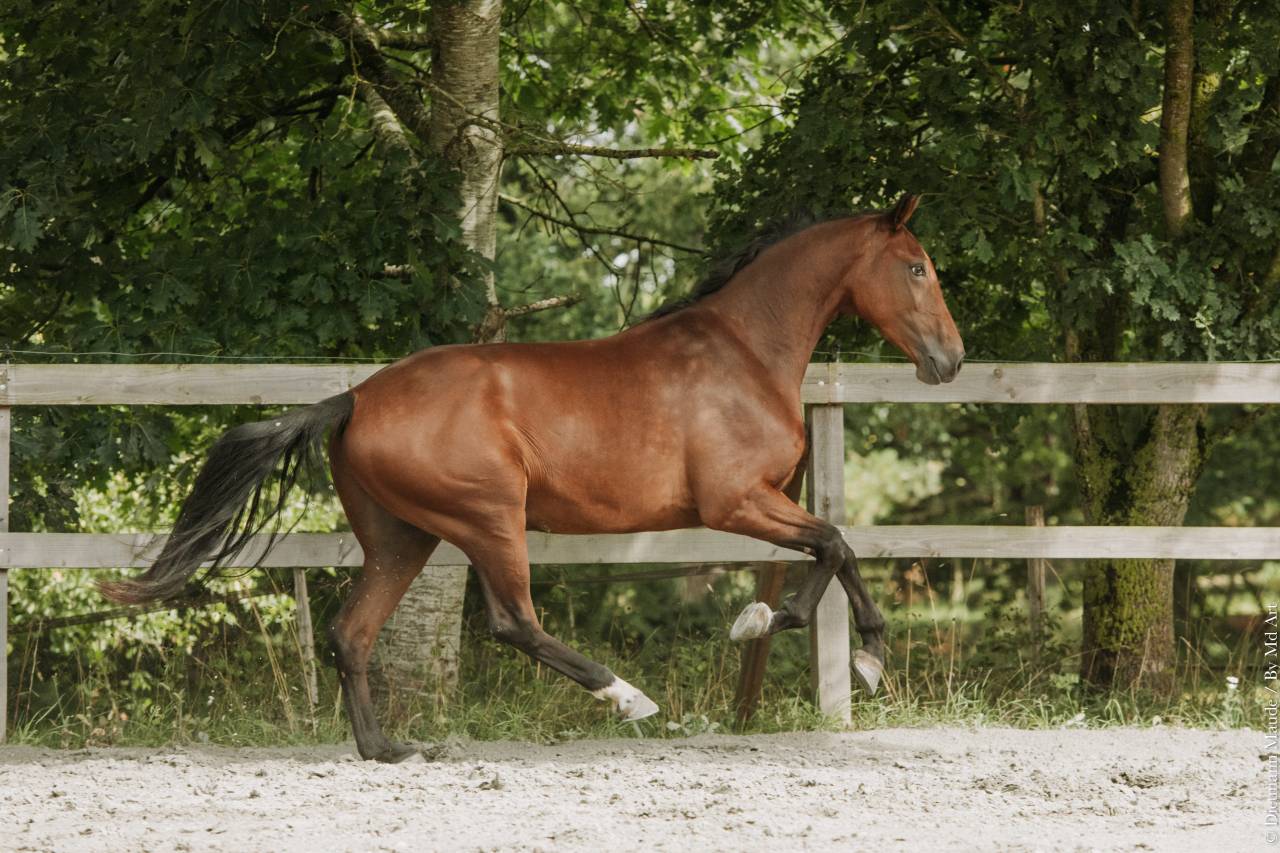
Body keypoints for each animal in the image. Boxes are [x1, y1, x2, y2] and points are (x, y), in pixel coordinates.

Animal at [101, 193, 965, 762]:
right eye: (916, 267)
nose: (949, 361)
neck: (744, 350)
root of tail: (354, 398)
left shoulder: (760, 502)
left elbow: (834, 549)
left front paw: (857, 656)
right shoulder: (736, 502)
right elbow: (835, 543)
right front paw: (780, 627)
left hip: (402, 537)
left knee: (352, 633)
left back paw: (389, 749)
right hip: (490, 518)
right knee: (513, 621)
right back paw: (628, 696)